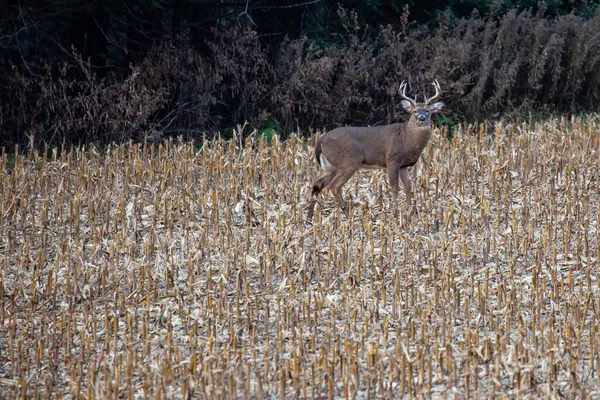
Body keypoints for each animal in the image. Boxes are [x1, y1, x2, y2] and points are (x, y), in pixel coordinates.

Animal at [310, 79, 440, 220]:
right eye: (414, 111)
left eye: (427, 110)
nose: (421, 118)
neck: (407, 138)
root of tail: (321, 141)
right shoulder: (392, 159)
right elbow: (394, 187)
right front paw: (395, 213)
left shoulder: (404, 165)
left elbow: (407, 187)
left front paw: (411, 213)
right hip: (348, 163)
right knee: (334, 186)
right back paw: (347, 215)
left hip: (330, 167)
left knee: (316, 184)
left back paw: (310, 217)